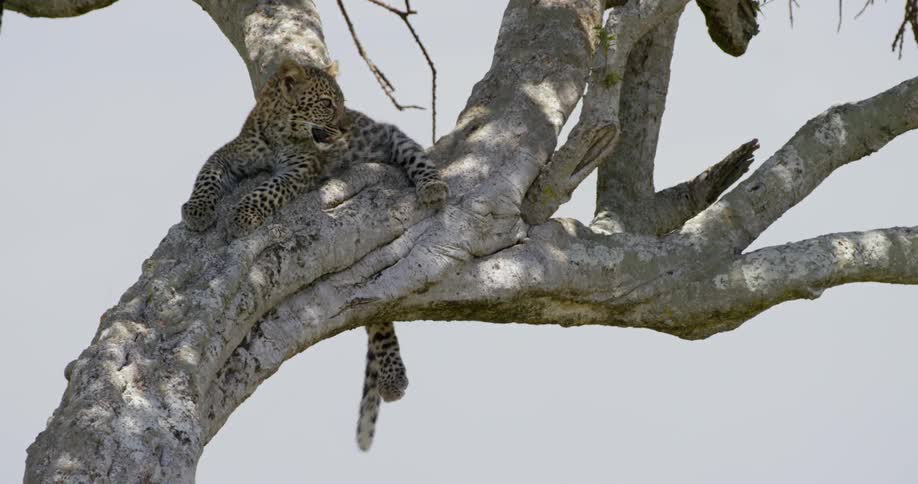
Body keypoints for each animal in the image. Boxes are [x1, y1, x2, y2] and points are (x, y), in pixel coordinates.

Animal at [181, 59, 443, 451]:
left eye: (341, 101)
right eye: (326, 103)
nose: (346, 125)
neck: (276, 133)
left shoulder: (300, 170)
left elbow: (267, 189)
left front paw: (243, 215)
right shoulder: (227, 155)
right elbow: (207, 178)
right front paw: (198, 210)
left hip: (395, 138)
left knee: (418, 159)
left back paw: (433, 188)